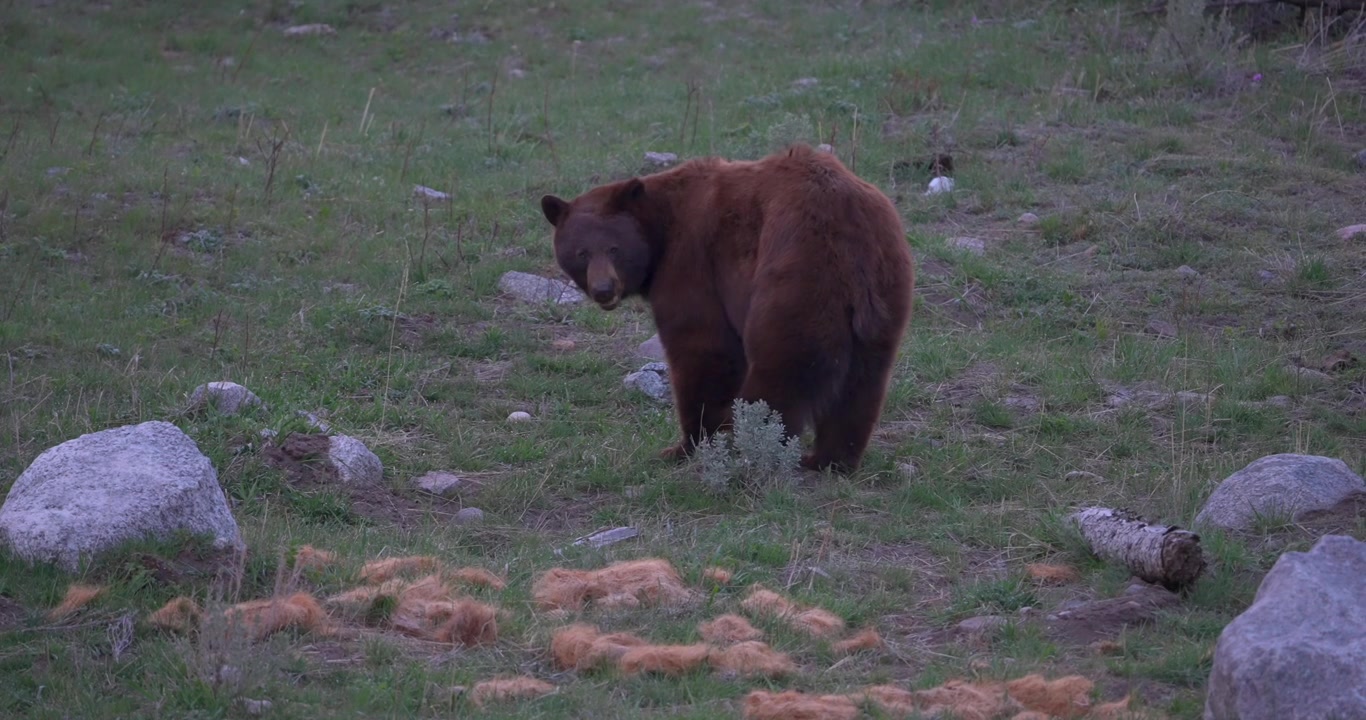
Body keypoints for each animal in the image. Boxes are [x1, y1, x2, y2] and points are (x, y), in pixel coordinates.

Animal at [539, 144, 914, 473]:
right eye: (581, 253)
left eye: (614, 249)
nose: (604, 290)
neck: (661, 228)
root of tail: (851, 234)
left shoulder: (693, 264)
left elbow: (704, 350)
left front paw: (686, 446)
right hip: (886, 288)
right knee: (863, 383)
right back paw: (829, 460)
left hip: (796, 277)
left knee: (780, 372)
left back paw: (750, 450)